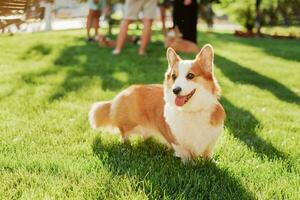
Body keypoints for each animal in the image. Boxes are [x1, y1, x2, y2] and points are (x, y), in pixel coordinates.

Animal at [88, 44, 224, 162]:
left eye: (190, 75)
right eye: (174, 76)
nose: (175, 90)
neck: (191, 111)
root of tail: (124, 92)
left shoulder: (211, 143)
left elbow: (208, 154)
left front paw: (210, 162)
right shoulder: (177, 142)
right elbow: (186, 155)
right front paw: (190, 164)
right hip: (128, 124)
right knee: (123, 134)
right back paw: (125, 145)